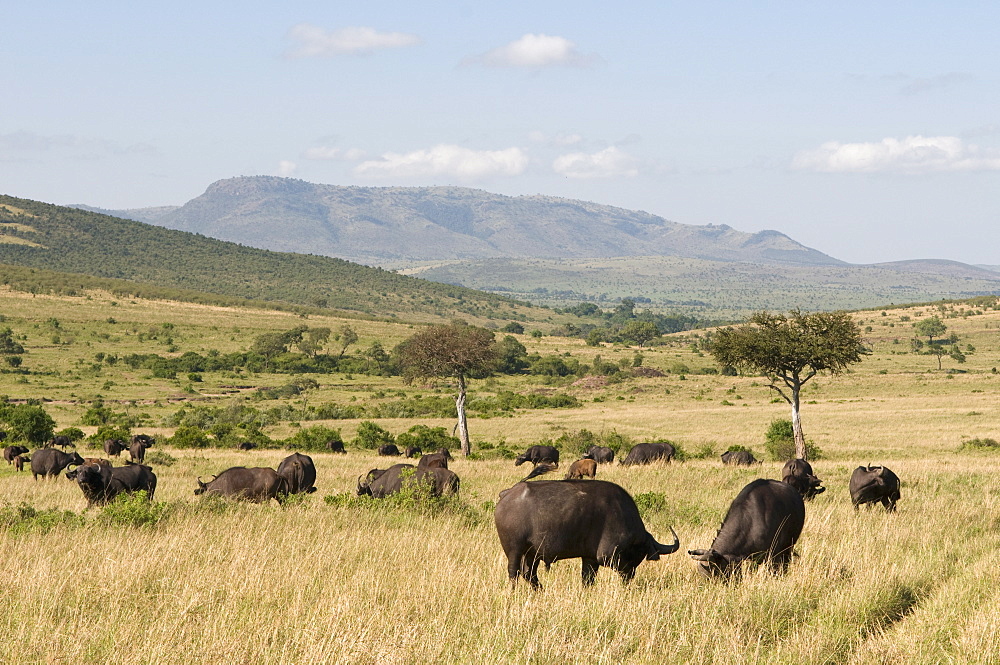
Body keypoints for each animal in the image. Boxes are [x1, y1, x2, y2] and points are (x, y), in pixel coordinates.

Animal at [496, 478, 684, 588]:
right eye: (639, 552)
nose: (630, 577)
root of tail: (507, 494)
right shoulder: (608, 555)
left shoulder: (589, 558)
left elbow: (587, 579)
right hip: (514, 550)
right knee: (514, 572)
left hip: (532, 553)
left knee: (529, 573)